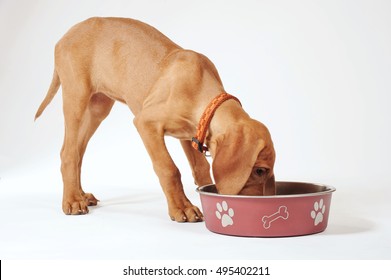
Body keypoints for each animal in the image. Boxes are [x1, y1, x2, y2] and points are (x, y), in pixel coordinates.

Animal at [36, 17, 276, 223]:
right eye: (260, 171)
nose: (262, 205)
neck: (199, 87)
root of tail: (65, 35)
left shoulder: (191, 134)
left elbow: (201, 168)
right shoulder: (146, 123)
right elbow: (169, 168)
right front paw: (182, 208)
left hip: (98, 107)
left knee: (78, 151)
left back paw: (80, 194)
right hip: (76, 98)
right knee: (68, 153)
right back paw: (72, 200)